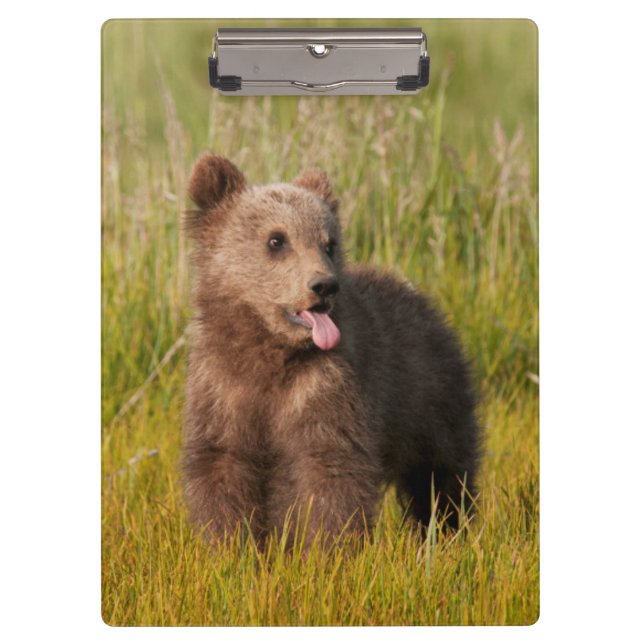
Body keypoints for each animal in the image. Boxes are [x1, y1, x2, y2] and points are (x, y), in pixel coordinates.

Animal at [182, 153, 481, 548]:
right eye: (276, 239)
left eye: (329, 243)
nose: (324, 285)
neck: (270, 351)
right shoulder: (223, 388)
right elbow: (222, 465)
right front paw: (229, 546)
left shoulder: (325, 386)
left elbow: (328, 470)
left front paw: (327, 550)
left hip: (429, 397)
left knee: (440, 474)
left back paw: (448, 531)